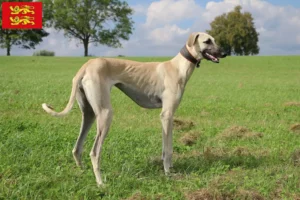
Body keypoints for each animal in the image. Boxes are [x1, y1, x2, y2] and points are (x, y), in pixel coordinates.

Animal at [41, 32, 225, 185]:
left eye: (215, 40)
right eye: (207, 41)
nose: (223, 53)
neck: (178, 66)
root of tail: (86, 65)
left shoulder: (168, 117)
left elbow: (167, 147)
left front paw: (169, 168)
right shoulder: (166, 115)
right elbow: (167, 150)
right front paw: (168, 173)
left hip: (89, 113)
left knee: (77, 148)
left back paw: (83, 172)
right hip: (105, 114)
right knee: (94, 153)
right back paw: (101, 183)